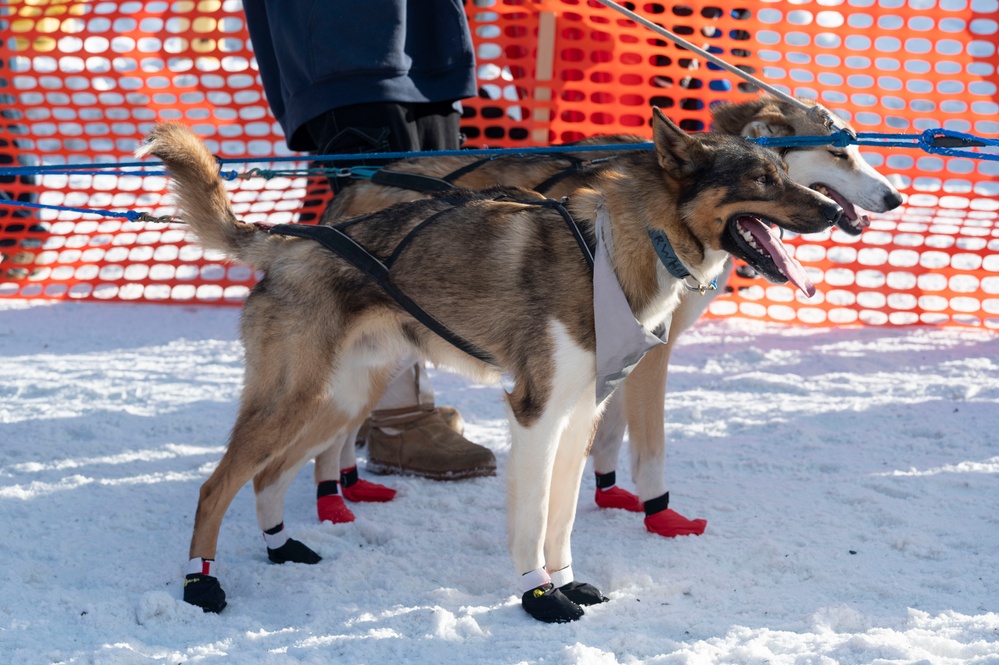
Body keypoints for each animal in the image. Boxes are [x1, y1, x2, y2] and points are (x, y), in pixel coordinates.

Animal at [141, 109, 844, 624]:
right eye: (762, 180)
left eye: (785, 170)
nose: (837, 212)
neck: (615, 252)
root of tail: (289, 243)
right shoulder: (535, 414)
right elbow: (532, 519)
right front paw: (538, 595)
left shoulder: (579, 415)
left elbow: (562, 518)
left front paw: (568, 582)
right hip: (292, 402)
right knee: (215, 487)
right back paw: (200, 584)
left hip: (336, 403)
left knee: (266, 477)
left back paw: (281, 546)